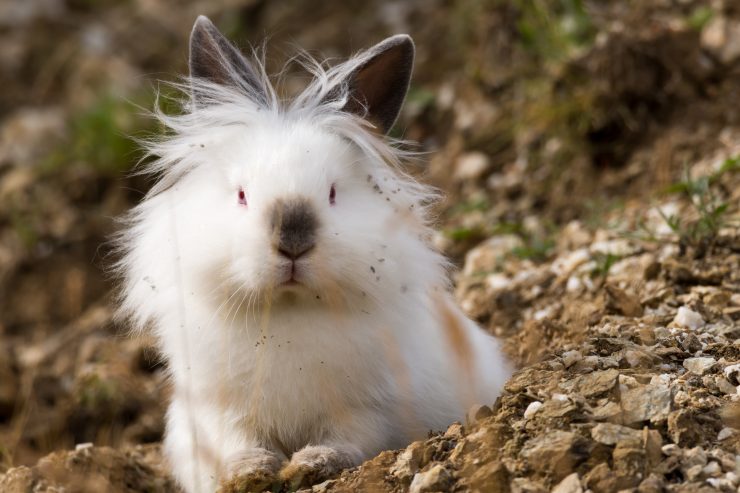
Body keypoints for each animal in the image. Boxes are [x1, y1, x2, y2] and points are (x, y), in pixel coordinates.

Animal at [118, 15, 512, 492]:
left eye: (333, 193)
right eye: (242, 194)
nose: (293, 240)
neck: (287, 312)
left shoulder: (370, 408)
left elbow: (349, 439)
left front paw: (312, 463)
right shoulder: (217, 411)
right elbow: (236, 442)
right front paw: (251, 472)